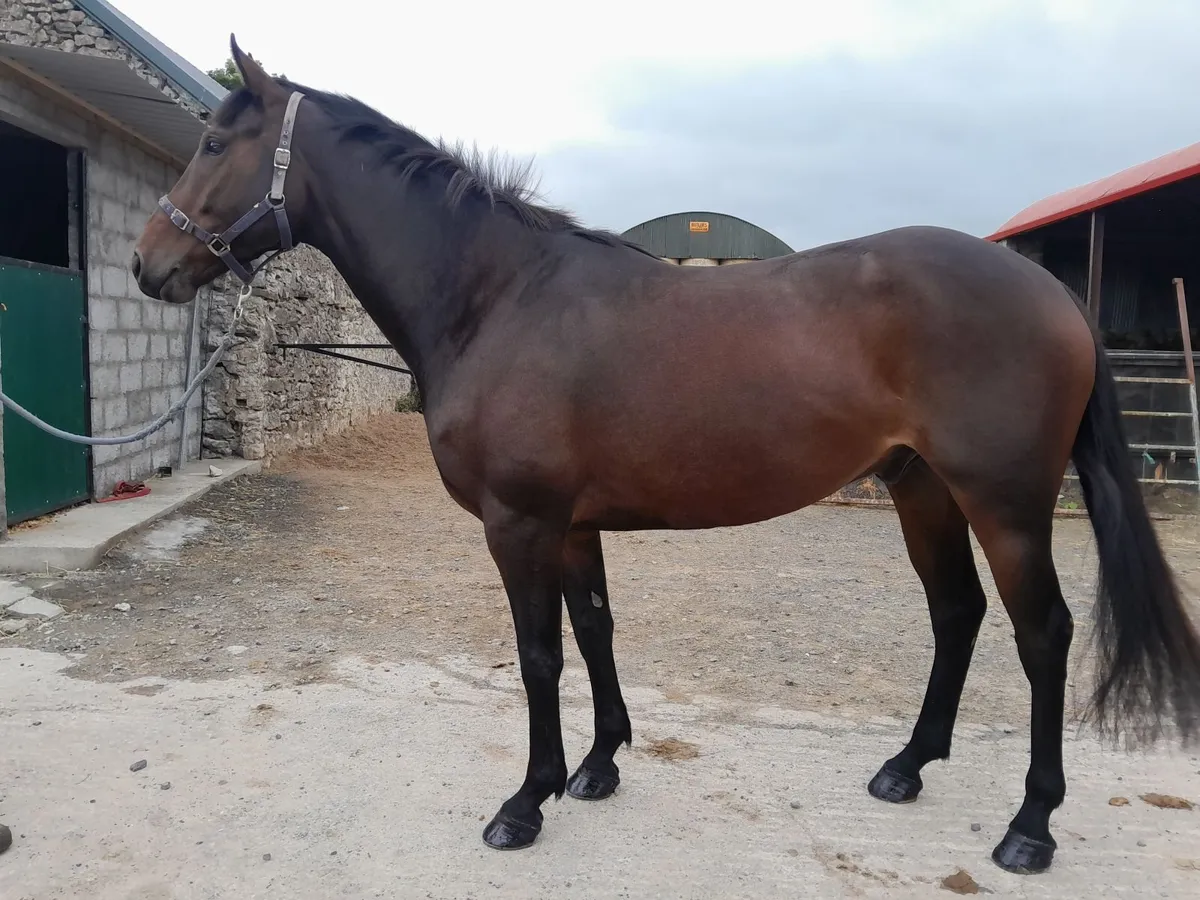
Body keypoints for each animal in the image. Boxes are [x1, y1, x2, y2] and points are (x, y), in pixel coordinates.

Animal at [131, 37, 1200, 874]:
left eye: (215, 143)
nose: (149, 265)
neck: (499, 297)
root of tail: (1052, 292)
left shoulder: (520, 525)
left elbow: (538, 655)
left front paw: (525, 802)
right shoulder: (571, 526)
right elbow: (597, 630)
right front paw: (599, 766)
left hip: (1006, 503)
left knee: (1043, 635)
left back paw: (1030, 827)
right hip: (922, 489)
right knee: (957, 614)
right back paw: (905, 767)